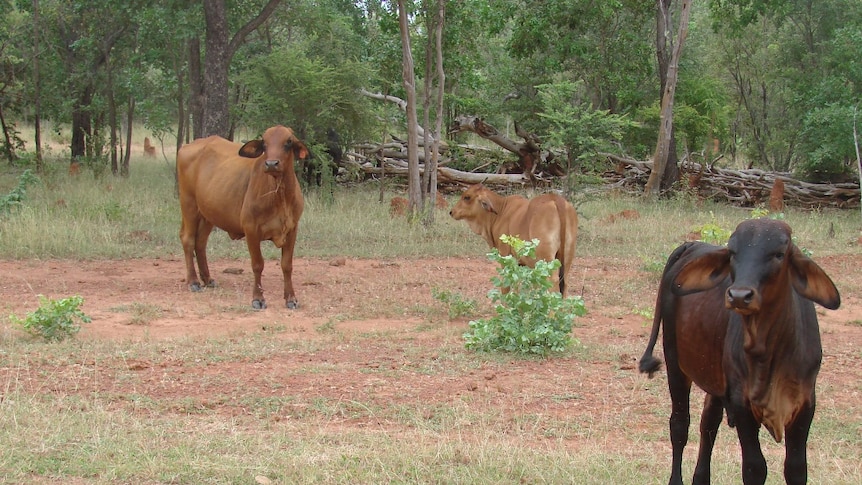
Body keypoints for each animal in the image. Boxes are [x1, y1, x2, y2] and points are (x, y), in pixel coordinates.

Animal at [177, 124, 308, 306]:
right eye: (264, 143)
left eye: (288, 141)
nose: (271, 163)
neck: (279, 195)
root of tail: (190, 145)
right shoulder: (251, 229)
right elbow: (258, 264)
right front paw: (258, 298)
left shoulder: (292, 229)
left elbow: (287, 265)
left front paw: (290, 298)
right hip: (188, 204)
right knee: (188, 239)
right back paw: (194, 281)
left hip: (208, 214)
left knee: (200, 242)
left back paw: (208, 279)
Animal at [448, 182, 576, 294]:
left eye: (467, 197)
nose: (452, 212)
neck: (500, 212)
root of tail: (556, 200)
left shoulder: (506, 257)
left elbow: (507, 286)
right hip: (566, 258)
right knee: (564, 283)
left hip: (547, 258)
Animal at [644, 219, 840, 484]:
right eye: (733, 252)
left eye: (779, 254)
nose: (739, 295)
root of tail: (692, 245)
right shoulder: (741, 403)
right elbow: (755, 467)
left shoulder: (805, 403)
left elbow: (796, 468)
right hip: (674, 361)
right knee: (679, 425)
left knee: (708, 424)